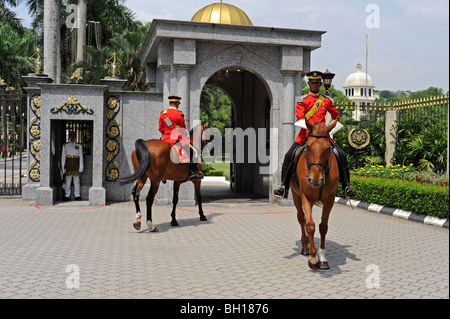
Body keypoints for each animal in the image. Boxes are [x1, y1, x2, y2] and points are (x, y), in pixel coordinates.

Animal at [290, 120, 340, 270]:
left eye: (328, 148)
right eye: (308, 146)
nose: (315, 180)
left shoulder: (330, 199)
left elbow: (323, 227)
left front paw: (322, 258)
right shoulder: (305, 196)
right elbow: (310, 225)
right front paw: (313, 258)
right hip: (296, 195)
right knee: (301, 219)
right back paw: (305, 246)